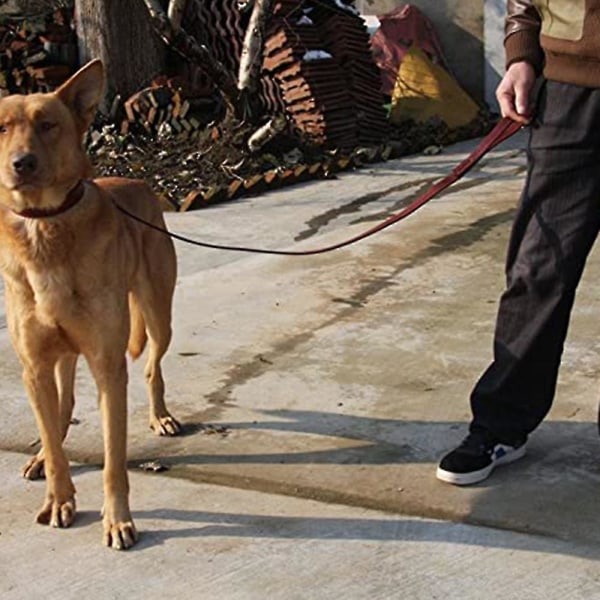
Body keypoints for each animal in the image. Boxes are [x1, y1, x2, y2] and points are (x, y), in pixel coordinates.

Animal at [0, 59, 180, 548]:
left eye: (48, 125)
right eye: (1, 128)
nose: (21, 164)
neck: (45, 225)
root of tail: (137, 180)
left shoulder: (107, 366)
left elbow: (114, 460)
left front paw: (117, 519)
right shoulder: (35, 367)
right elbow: (55, 440)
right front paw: (58, 496)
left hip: (158, 316)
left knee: (153, 366)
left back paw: (161, 415)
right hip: (58, 357)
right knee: (61, 408)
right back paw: (43, 454)